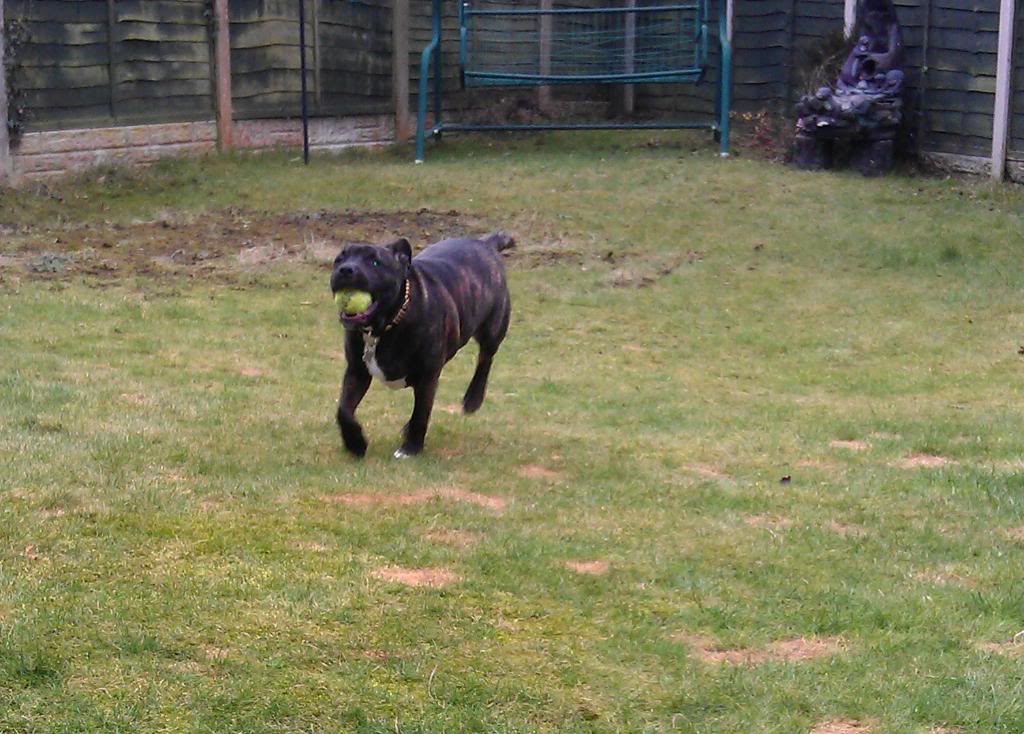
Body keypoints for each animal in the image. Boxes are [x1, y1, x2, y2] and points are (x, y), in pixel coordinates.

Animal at [331, 232, 516, 454]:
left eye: (375, 262)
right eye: (339, 259)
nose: (346, 269)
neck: (384, 327)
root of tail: (486, 243)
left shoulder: (427, 376)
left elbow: (421, 413)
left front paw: (411, 449)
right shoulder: (356, 371)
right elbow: (344, 410)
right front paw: (355, 443)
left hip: (492, 328)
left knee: (485, 359)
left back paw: (473, 399)